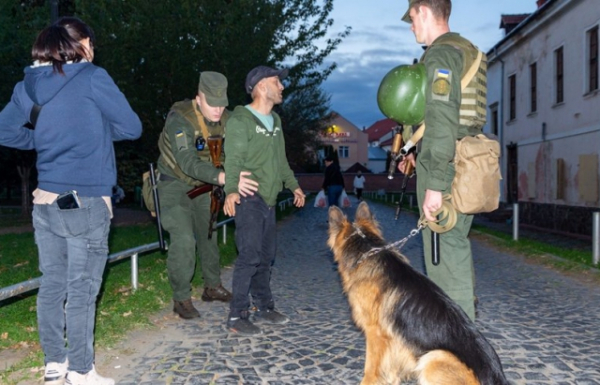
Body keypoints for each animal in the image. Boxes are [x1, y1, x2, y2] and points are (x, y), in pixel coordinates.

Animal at [326, 202, 508, 382]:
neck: (367, 252)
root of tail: (497, 377)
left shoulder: (375, 334)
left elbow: (370, 368)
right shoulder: (394, 341)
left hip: (434, 357)